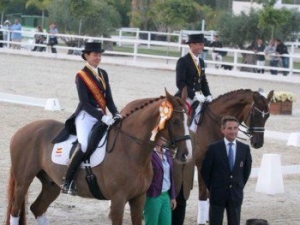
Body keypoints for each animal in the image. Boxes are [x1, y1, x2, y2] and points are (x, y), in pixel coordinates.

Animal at [5, 90, 193, 225]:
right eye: (175, 121)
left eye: (188, 119)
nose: (186, 154)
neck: (131, 150)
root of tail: (23, 130)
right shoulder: (118, 201)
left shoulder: (138, 199)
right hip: (23, 181)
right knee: (15, 211)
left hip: (51, 185)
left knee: (37, 209)